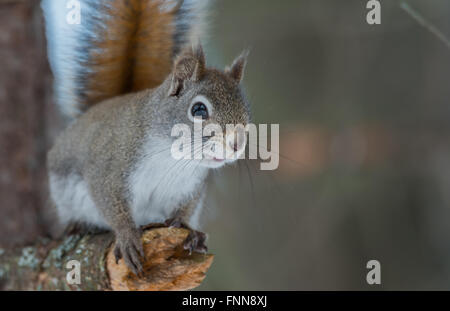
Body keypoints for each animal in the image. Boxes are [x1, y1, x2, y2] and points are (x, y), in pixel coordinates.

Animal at [41, 0, 250, 276]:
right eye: (199, 110)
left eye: (246, 112)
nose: (236, 145)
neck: (171, 154)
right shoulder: (109, 167)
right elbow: (110, 202)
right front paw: (127, 236)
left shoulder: (190, 185)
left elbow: (185, 210)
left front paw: (190, 231)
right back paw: (78, 225)